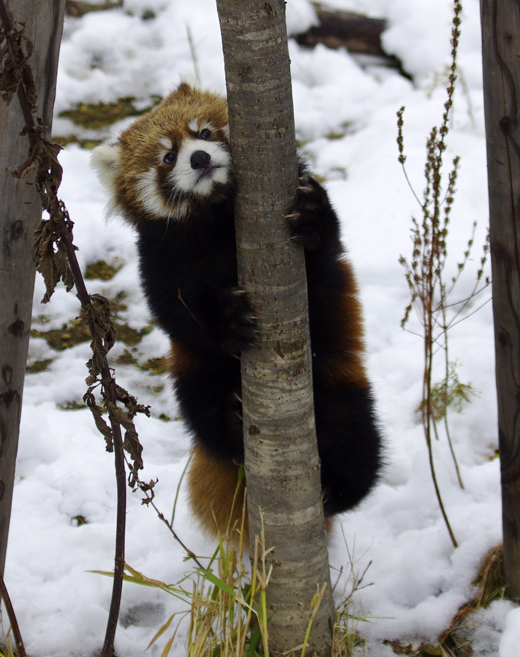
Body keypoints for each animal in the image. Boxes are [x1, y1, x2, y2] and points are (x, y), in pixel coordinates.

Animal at [91, 82, 380, 544]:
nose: (199, 158)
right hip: (193, 374)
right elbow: (177, 312)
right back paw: (230, 419)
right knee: (205, 419)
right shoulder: (163, 258)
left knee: (358, 452)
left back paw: (334, 491)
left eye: (205, 133)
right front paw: (227, 320)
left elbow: (325, 257)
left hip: (340, 388)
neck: (217, 216)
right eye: (167, 157)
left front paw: (312, 217)